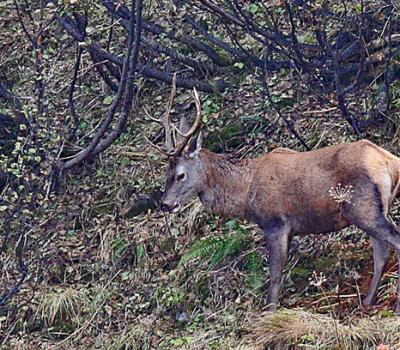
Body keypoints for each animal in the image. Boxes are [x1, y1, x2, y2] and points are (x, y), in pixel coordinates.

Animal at [147, 84, 400, 312]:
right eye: (166, 174)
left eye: (180, 175)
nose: (165, 204)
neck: (245, 193)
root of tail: (389, 161)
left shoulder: (275, 222)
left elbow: (275, 274)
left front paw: (269, 312)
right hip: (373, 209)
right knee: (381, 254)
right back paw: (367, 301)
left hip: (362, 207)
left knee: (393, 241)